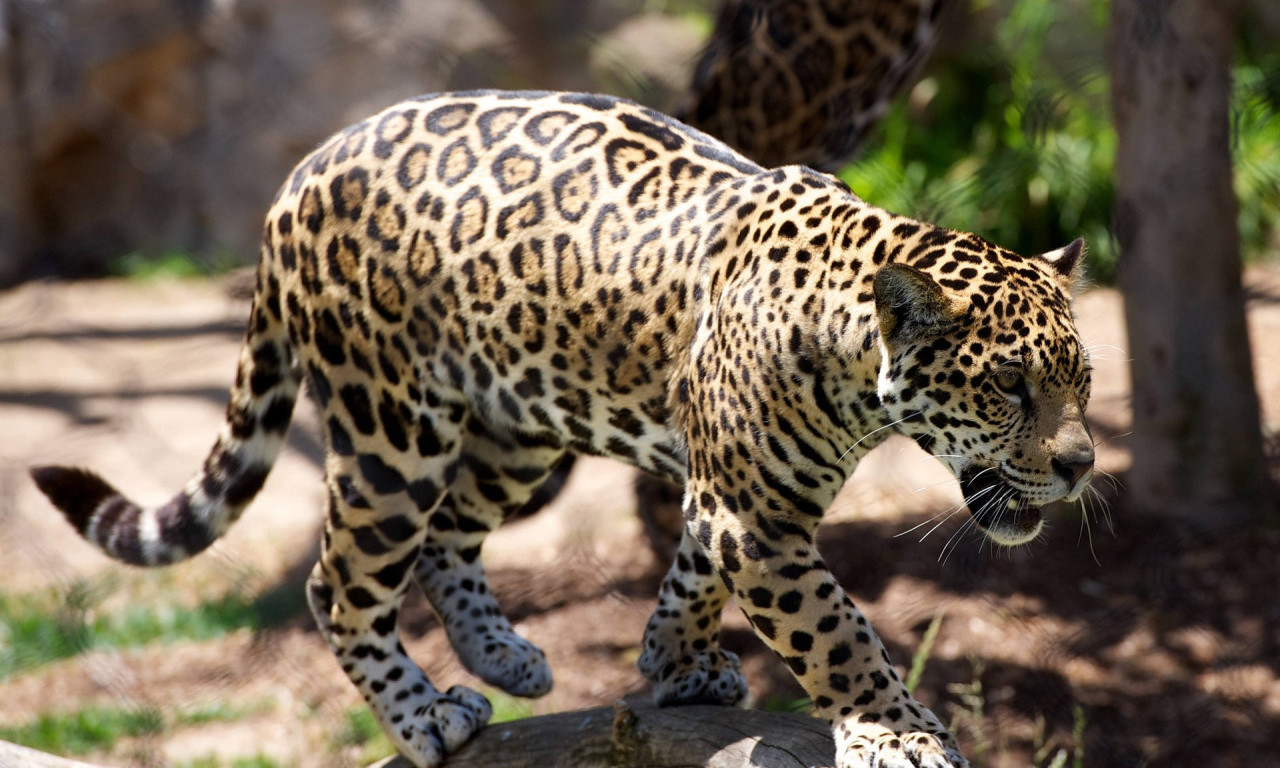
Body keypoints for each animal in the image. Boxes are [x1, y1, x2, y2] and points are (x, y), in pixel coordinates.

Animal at [32, 89, 1095, 768]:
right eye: (1009, 385)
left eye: (1081, 381)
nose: (1083, 464)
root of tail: (298, 177)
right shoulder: (756, 520)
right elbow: (836, 634)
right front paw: (897, 730)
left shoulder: (725, 501)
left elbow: (690, 575)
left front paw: (672, 663)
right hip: (390, 429)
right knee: (340, 579)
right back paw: (424, 716)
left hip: (519, 421)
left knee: (448, 537)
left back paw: (503, 656)